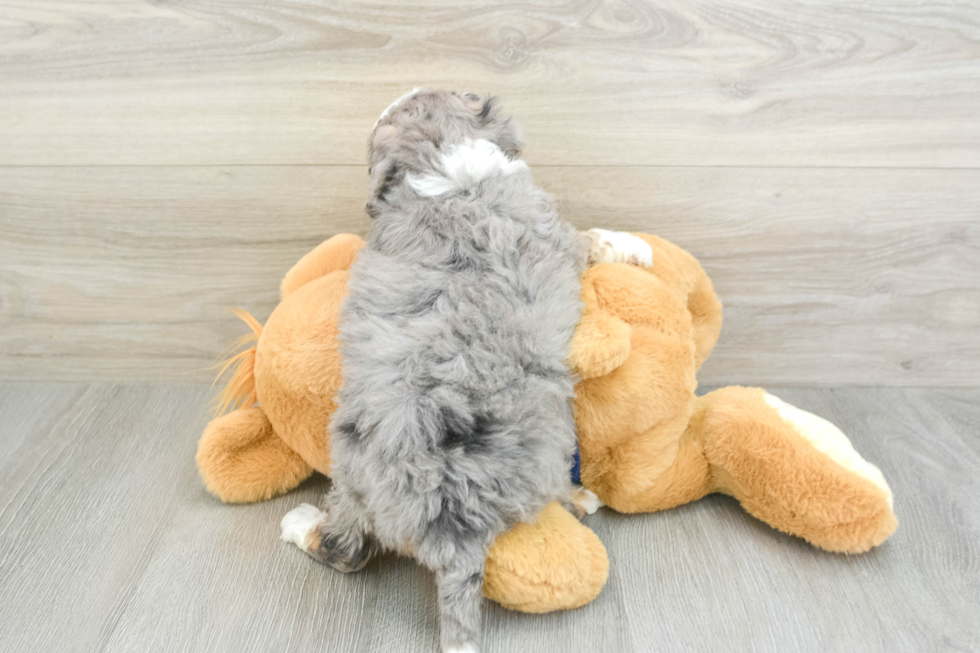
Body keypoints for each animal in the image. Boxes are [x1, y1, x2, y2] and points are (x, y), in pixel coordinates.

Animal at [284, 88, 652, 652]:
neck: (446, 169)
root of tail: (452, 528)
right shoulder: (557, 235)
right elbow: (592, 238)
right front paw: (638, 246)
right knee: (344, 551)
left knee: (347, 550)